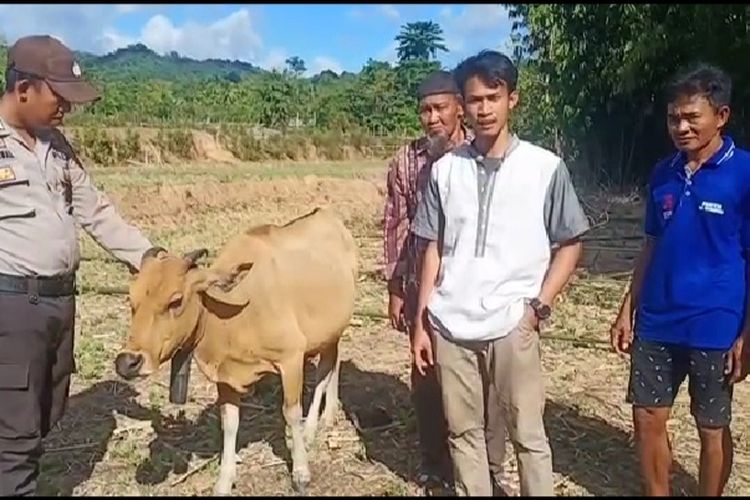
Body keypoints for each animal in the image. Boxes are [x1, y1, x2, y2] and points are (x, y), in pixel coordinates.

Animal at [114, 208, 358, 496]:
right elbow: (229, 424)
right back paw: (327, 415)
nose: (127, 362)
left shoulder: (290, 357)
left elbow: (290, 412)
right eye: (132, 301)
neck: (236, 311)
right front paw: (224, 480)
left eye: (175, 301)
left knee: (324, 370)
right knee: (333, 362)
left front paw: (301, 472)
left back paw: (312, 428)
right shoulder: (226, 376)